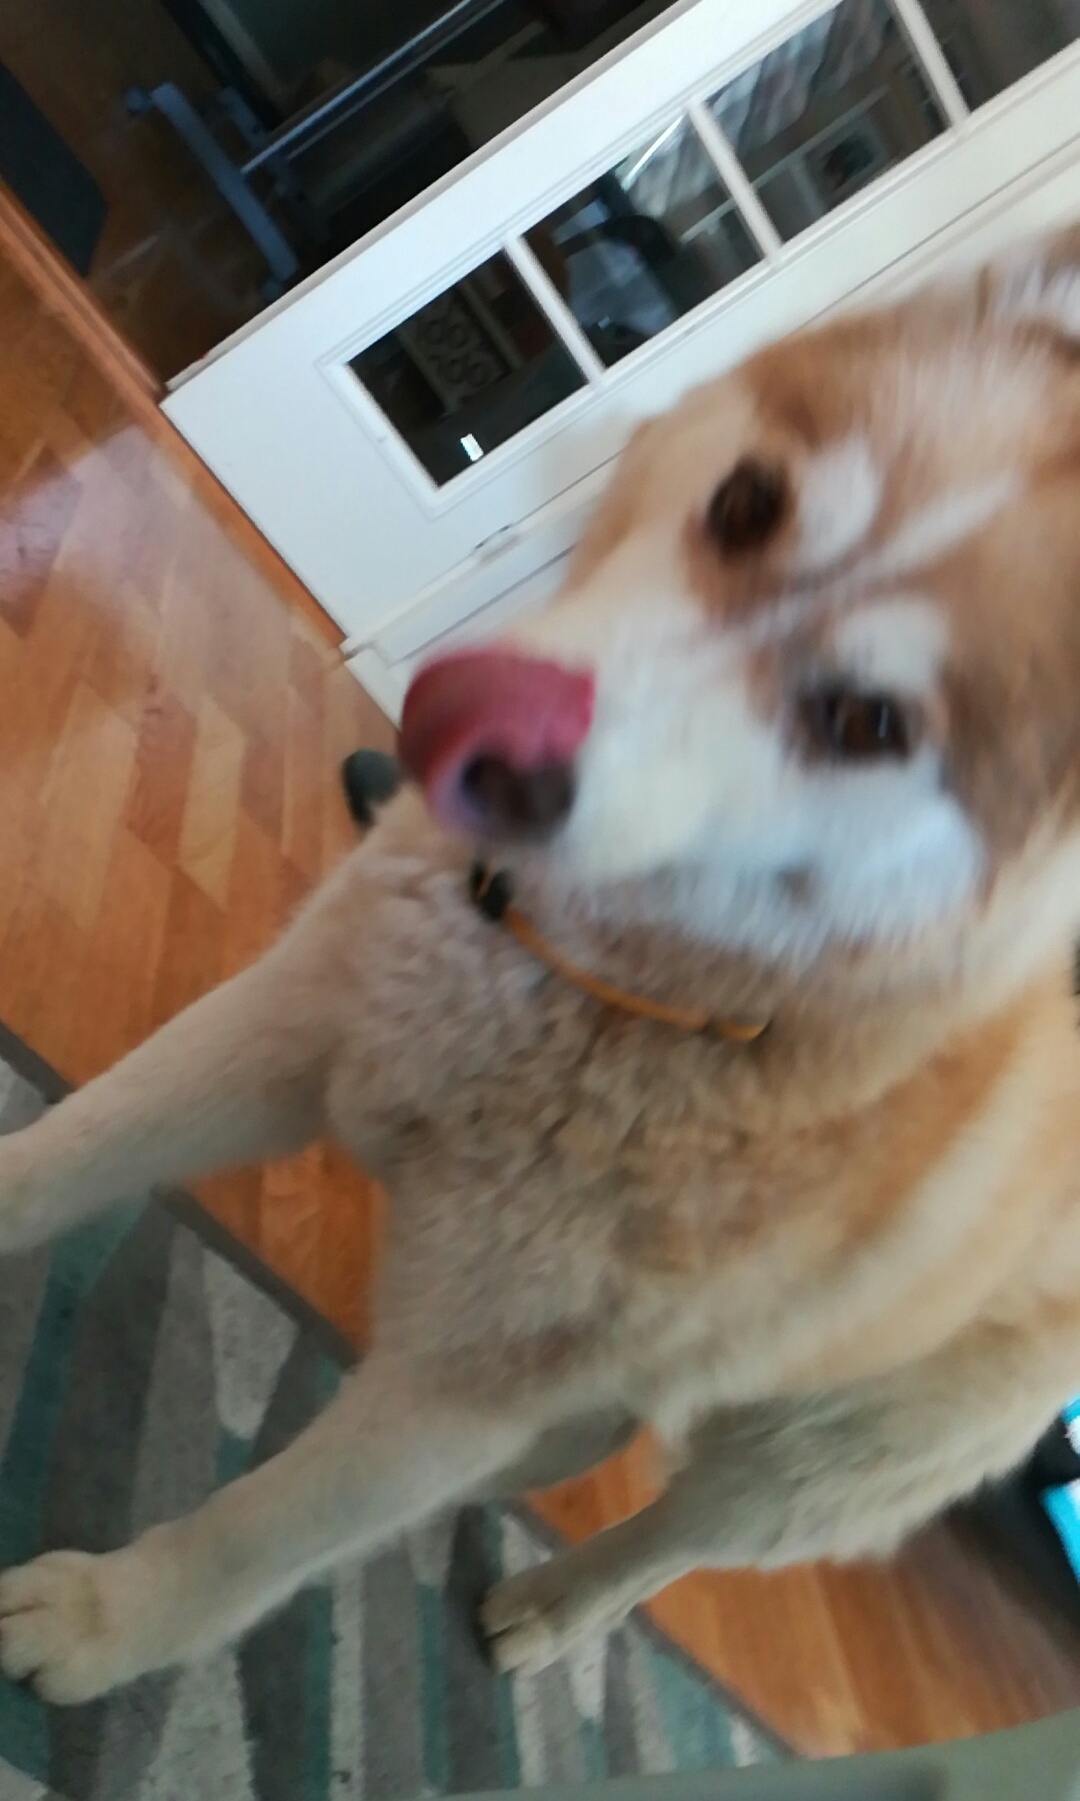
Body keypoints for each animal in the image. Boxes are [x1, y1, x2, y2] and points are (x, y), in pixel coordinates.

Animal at [1, 227, 1079, 1706]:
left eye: (868, 724)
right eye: (747, 506)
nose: (460, 717)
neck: (589, 983)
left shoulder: (459, 1389)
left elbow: (253, 1536)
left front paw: (114, 1621)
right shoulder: (284, 1029)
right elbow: (59, 1159)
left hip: (811, 1462)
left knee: (676, 1534)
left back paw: (563, 1609)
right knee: (591, 1432)